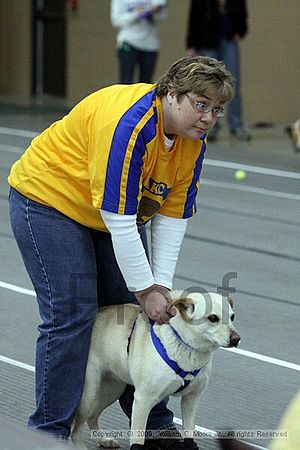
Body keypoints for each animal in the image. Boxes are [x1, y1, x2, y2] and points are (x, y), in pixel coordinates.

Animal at [69, 292, 239, 450]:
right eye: (213, 318)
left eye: (232, 316)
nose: (237, 339)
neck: (184, 344)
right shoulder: (143, 401)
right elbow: (137, 440)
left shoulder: (191, 399)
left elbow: (189, 435)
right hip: (89, 393)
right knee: (76, 429)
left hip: (113, 389)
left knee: (92, 416)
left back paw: (103, 439)